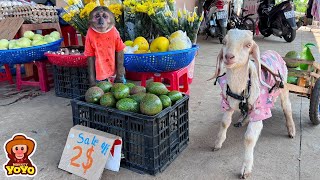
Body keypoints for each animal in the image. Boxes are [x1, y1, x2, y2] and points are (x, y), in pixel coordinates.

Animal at [211, 29, 296, 179]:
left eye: (248, 45)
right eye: (224, 42)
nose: (229, 56)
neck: (241, 87)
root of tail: (274, 52)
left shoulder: (259, 111)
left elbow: (249, 138)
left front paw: (246, 168)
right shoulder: (227, 104)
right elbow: (224, 123)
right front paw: (218, 143)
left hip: (284, 87)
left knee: (287, 108)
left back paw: (291, 130)